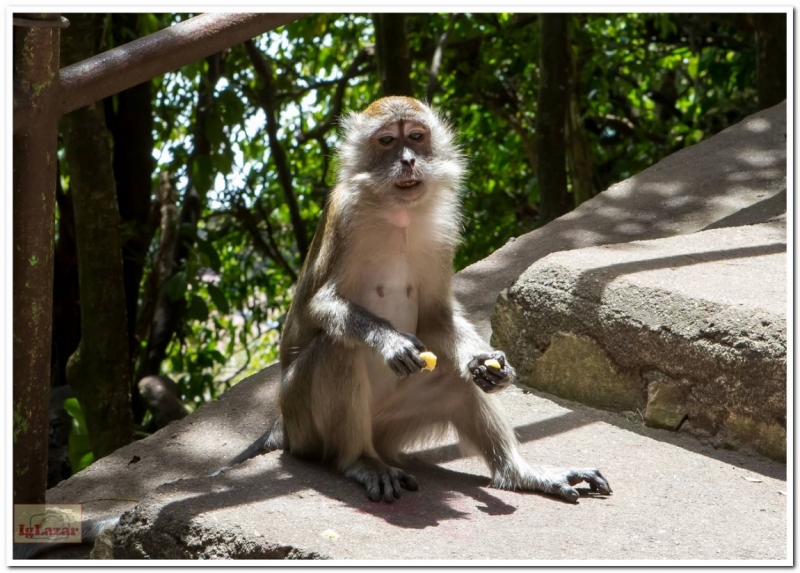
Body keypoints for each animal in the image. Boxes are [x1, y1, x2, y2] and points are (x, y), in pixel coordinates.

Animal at [266, 96, 608, 502]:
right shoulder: (345, 215)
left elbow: (435, 315)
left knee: (458, 385)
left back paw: (521, 472)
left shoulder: (442, 229)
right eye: (387, 141)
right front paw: (390, 341)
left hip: (393, 423)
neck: (398, 212)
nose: (408, 160)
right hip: (303, 422)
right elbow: (317, 305)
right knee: (337, 348)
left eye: (415, 136)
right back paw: (361, 461)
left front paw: (489, 364)